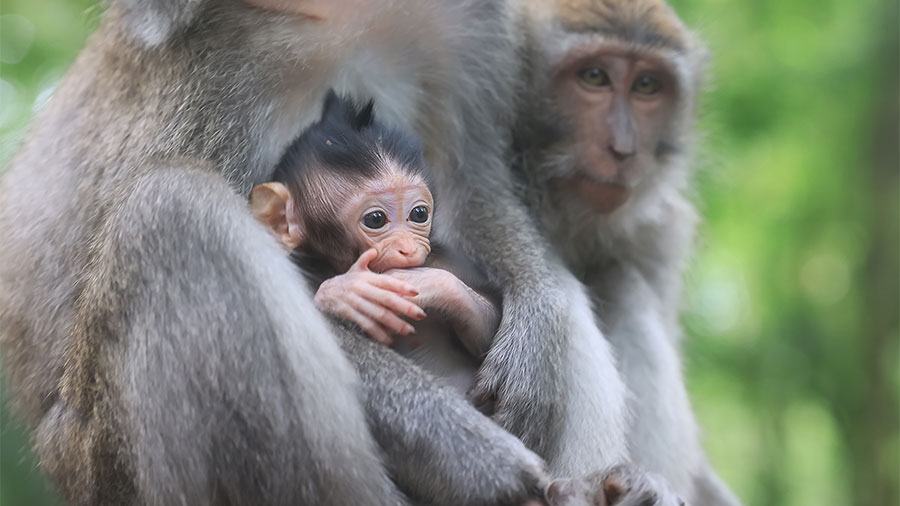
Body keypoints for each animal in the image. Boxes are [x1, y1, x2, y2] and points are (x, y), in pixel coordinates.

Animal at [251, 92, 500, 396]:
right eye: (375, 219)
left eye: (419, 214)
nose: (407, 248)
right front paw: (348, 291)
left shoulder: (448, 260)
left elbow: (489, 325)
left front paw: (430, 283)